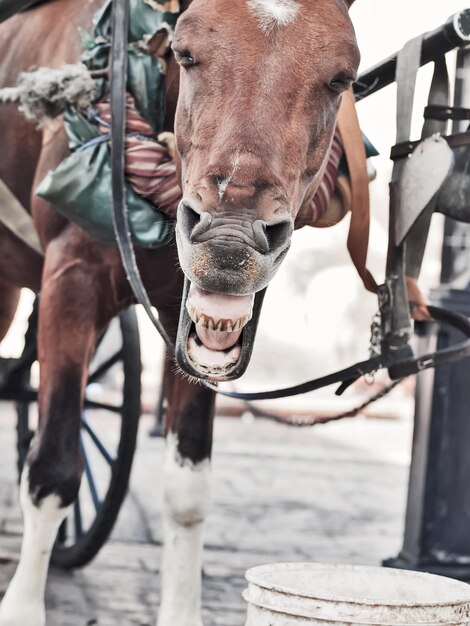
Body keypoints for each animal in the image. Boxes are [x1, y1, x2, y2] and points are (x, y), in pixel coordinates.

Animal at [0, 0, 358, 620]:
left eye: (342, 77)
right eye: (185, 53)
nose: (230, 239)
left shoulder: (192, 321)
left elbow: (188, 486)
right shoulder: (71, 280)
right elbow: (52, 471)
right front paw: (21, 610)